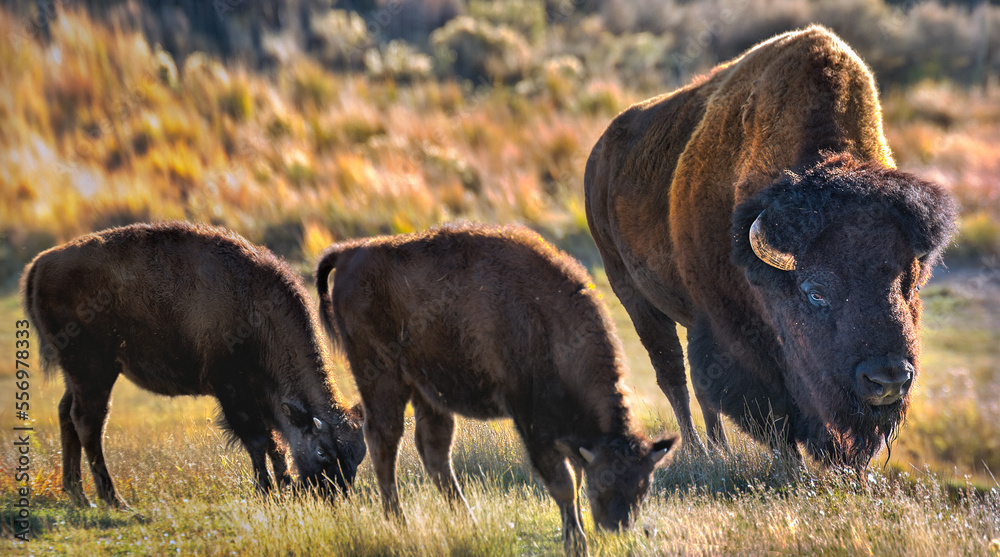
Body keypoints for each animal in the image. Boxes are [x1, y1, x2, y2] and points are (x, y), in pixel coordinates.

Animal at [20, 222, 366, 508]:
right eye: (322, 451)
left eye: (359, 456)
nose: (333, 496)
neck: (258, 310)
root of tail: (39, 264)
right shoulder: (233, 390)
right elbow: (258, 440)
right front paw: (267, 490)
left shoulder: (264, 398)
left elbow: (275, 443)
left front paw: (284, 485)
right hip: (94, 370)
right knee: (88, 421)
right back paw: (113, 500)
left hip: (79, 375)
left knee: (66, 413)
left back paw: (78, 495)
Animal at [315, 223, 677, 556]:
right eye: (602, 483)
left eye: (644, 487)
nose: (615, 528)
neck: (550, 326)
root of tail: (349, 253)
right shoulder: (532, 421)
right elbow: (564, 484)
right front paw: (577, 544)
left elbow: (572, 477)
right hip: (382, 379)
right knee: (383, 442)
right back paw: (399, 523)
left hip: (427, 392)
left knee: (433, 451)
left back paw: (469, 523)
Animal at [584, 26, 956, 467]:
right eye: (816, 292)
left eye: (910, 285)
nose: (888, 380)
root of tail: (600, 153)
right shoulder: (737, 338)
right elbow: (773, 413)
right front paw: (794, 470)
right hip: (632, 294)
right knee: (672, 373)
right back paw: (696, 449)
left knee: (698, 387)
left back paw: (718, 449)